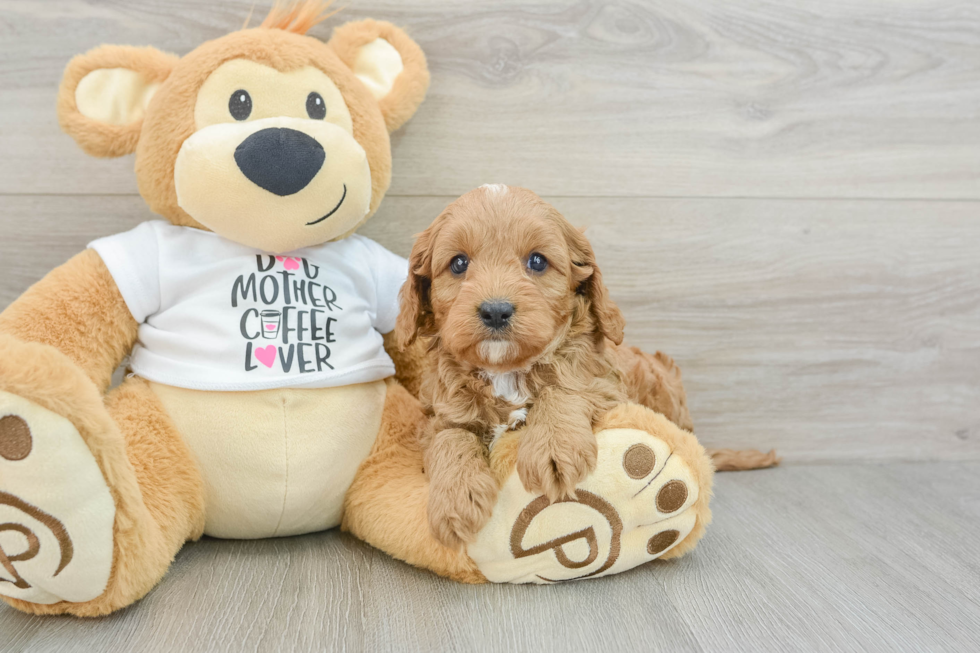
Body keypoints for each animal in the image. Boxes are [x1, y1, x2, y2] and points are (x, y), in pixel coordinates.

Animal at [398, 183, 628, 544]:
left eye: (537, 261)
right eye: (459, 263)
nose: (495, 311)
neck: (504, 372)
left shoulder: (604, 383)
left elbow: (562, 390)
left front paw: (553, 447)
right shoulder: (437, 416)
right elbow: (451, 437)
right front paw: (455, 499)